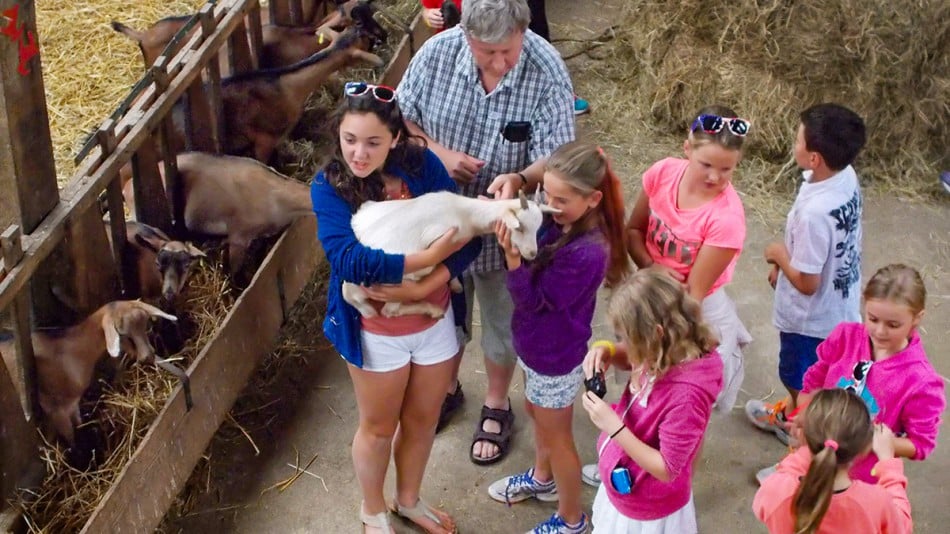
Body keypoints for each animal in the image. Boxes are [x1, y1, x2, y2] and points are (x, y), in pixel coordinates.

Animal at [344, 192, 556, 320]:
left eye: (538, 226)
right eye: (520, 227)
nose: (532, 253)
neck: (464, 213)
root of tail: (348, 292)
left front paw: (454, 284)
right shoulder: (439, 236)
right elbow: (432, 262)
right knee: (389, 311)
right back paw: (433, 309)